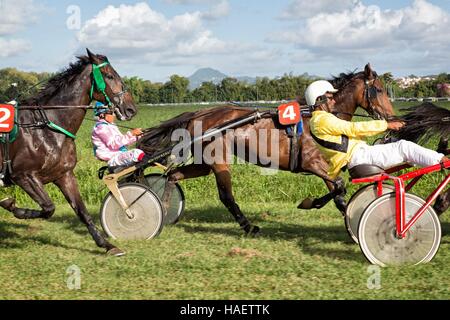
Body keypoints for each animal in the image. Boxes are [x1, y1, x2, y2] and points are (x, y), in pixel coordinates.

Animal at [0, 48, 137, 256]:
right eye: (109, 75)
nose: (130, 108)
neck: (46, 127)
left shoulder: (64, 175)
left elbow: (82, 212)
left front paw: (107, 245)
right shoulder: (23, 175)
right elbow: (48, 208)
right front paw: (12, 206)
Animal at [139, 64, 396, 235]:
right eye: (379, 90)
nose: (391, 117)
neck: (318, 112)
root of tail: (198, 113)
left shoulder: (326, 167)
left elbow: (340, 194)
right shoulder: (312, 163)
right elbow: (340, 186)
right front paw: (310, 203)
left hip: (204, 162)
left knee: (173, 175)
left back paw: (163, 209)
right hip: (218, 160)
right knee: (226, 195)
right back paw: (248, 225)